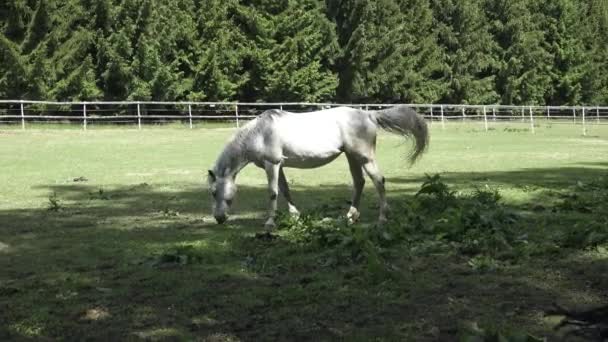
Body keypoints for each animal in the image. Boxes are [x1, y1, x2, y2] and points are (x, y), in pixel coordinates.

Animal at [207, 104, 430, 227]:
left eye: (213, 192)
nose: (219, 218)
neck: (260, 133)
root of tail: (368, 115)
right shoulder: (279, 166)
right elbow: (285, 190)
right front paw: (295, 216)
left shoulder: (272, 164)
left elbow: (272, 192)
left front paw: (270, 222)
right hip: (351, 156)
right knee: (359, 182)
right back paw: (350, 217)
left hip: (364, 157)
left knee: (378, 181)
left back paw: (382, 218)